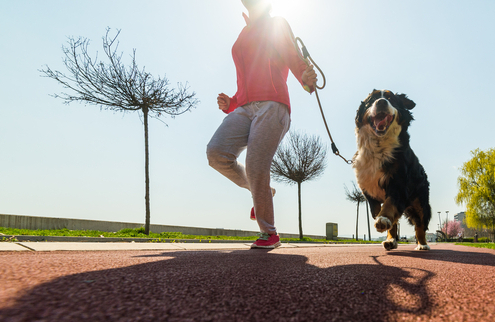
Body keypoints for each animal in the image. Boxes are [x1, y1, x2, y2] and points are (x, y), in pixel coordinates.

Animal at [354, 89, 432, 250]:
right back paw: (391, 241)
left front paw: (383, 219)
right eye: (372, 99)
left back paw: (422, 245)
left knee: (420, 224)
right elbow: (383, 213)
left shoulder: (399, 184)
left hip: (421, 202)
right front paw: (386, 228)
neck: (378, 146)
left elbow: (389, 205)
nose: (382, 102)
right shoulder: (370, 193)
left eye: (391, 99)